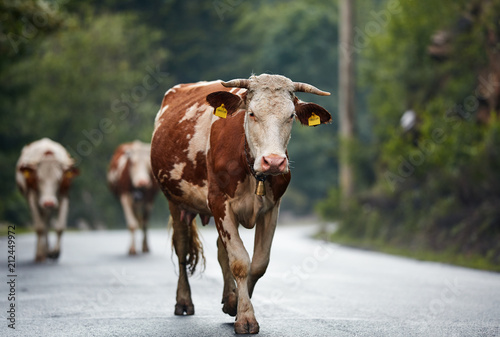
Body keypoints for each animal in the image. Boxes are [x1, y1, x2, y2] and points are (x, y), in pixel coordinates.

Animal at [152, 74, 332, 334]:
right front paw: (246, 317)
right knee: (182, 248)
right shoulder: (220, 203)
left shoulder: (272, 209)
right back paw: (184, 301)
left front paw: (236, 304)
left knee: (220, 251)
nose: (273, 161)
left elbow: (258, 263)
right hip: (175, 202)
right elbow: (239, 262)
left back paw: (229, 296)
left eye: (291, 115)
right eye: (252, 113)